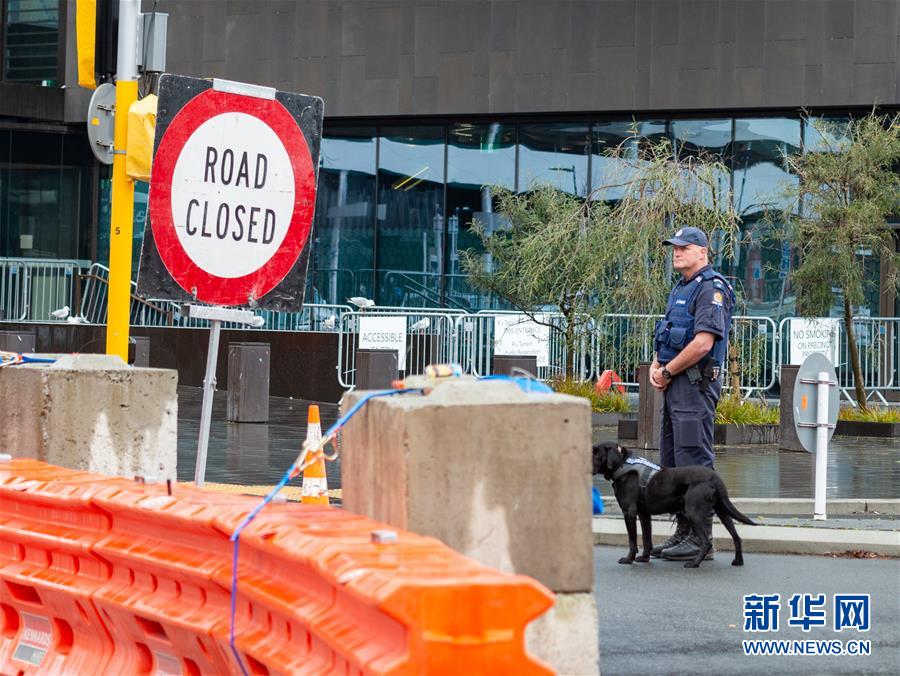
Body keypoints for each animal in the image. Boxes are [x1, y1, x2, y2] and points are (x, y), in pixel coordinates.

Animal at [596, 440, 756, 568]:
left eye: (595, 454)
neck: (622, 464)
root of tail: (714, 477)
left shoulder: (629, 512)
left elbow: (632, 540)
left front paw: (629, 559)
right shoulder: (644, 514)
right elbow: (647, 538)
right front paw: (644, 558)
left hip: (694, 513)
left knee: (706, 542)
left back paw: (694, 563)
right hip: (722, 511)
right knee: (736, 537)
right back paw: (738, 561)